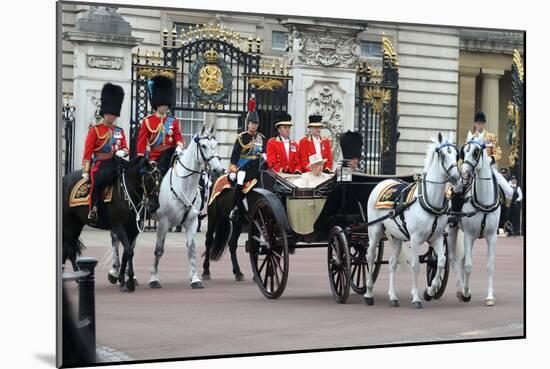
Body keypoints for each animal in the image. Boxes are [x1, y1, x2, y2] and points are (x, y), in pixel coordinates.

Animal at [63, 157, 162, 292]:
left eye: (160, 180)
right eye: (148, 179)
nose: (154, 206)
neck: (127, 193)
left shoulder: (132, 230)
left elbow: (127, 252)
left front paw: (122, 280)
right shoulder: (118, 226)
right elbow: (129, 251)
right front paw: (129, 282)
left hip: (76, 224)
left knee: (66, 249)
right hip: (68, 223)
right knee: (69, 250)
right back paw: (77, 278)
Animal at [149, 125, 224, 288]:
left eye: (215, 145)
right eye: (203, 145)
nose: (218, 170)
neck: (184, 184)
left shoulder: (192, 222)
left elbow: (192, 250)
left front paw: (195, 279)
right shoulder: (163, 222)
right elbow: (159, 250)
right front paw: (153, 279)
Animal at [366, 133, 462, 308]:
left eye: (457, 154)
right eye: (443, 155)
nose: (456, 177)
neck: (429, 201)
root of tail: (383, 181)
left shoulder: (437, 238)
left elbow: (441, 261)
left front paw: (430, 291)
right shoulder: (415, 239)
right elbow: (415, 265)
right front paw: (416, 298)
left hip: (396, 236)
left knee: (392, 262)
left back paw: (393, 297)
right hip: (375, 230)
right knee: (370, 256)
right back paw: (368, 293)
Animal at [450, 132, 502, 304]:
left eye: (476, 152)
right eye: (463, 152)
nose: (464, 174)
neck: (483, 201)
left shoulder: (492, 237)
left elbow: (490, 266)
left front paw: (490, 296)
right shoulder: (468, 235)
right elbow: (468, 266)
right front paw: (466, 292)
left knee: (461, 259)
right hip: (452, 229)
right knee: (453, 258)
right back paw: (460, 289)